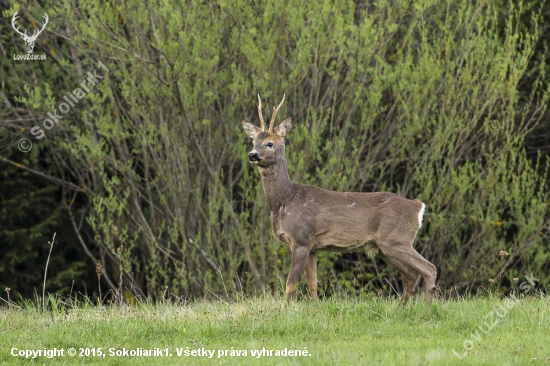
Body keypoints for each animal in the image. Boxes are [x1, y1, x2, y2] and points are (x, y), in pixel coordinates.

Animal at [242, 93, 440, 304]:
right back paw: (402, 307)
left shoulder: (301, 239)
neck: (285, 201)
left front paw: (286, 309)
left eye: (269, 143)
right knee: (412, 274)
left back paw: (427, 308)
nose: (252, 155)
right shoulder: (313, 247)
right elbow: (313, 284)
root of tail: (418, 206)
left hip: (396, 239)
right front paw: (315, 307)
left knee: (429, 268)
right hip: (383, 247)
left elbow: (290, 284)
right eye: (253, 142)